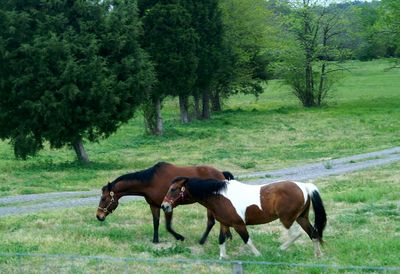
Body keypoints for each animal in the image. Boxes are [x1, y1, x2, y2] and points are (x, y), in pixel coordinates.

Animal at [96, 162, 234, 243]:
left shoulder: (168, 207)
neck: (151, 182)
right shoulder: (154, 206)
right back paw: (228, 236)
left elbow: (168, 226)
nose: (98, 216)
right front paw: (155, 240)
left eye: (103, 199)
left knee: (211, 222)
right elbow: (156, 223)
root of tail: (221, 174)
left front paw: (179, 237)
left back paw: (203, 240)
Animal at [161, 177, 326, 258]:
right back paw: (318, 255)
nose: (164, 206)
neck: (220, 196)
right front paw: (223, 257)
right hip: (301, 217)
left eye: (173, 189)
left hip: (287, 219)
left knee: (296, 234)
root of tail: (304, 186)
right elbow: (221, 240)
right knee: (313, 233)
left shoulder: (238, 225)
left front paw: (258, 256)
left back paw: (280, 249)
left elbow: (247, 240)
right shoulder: (224, 224)